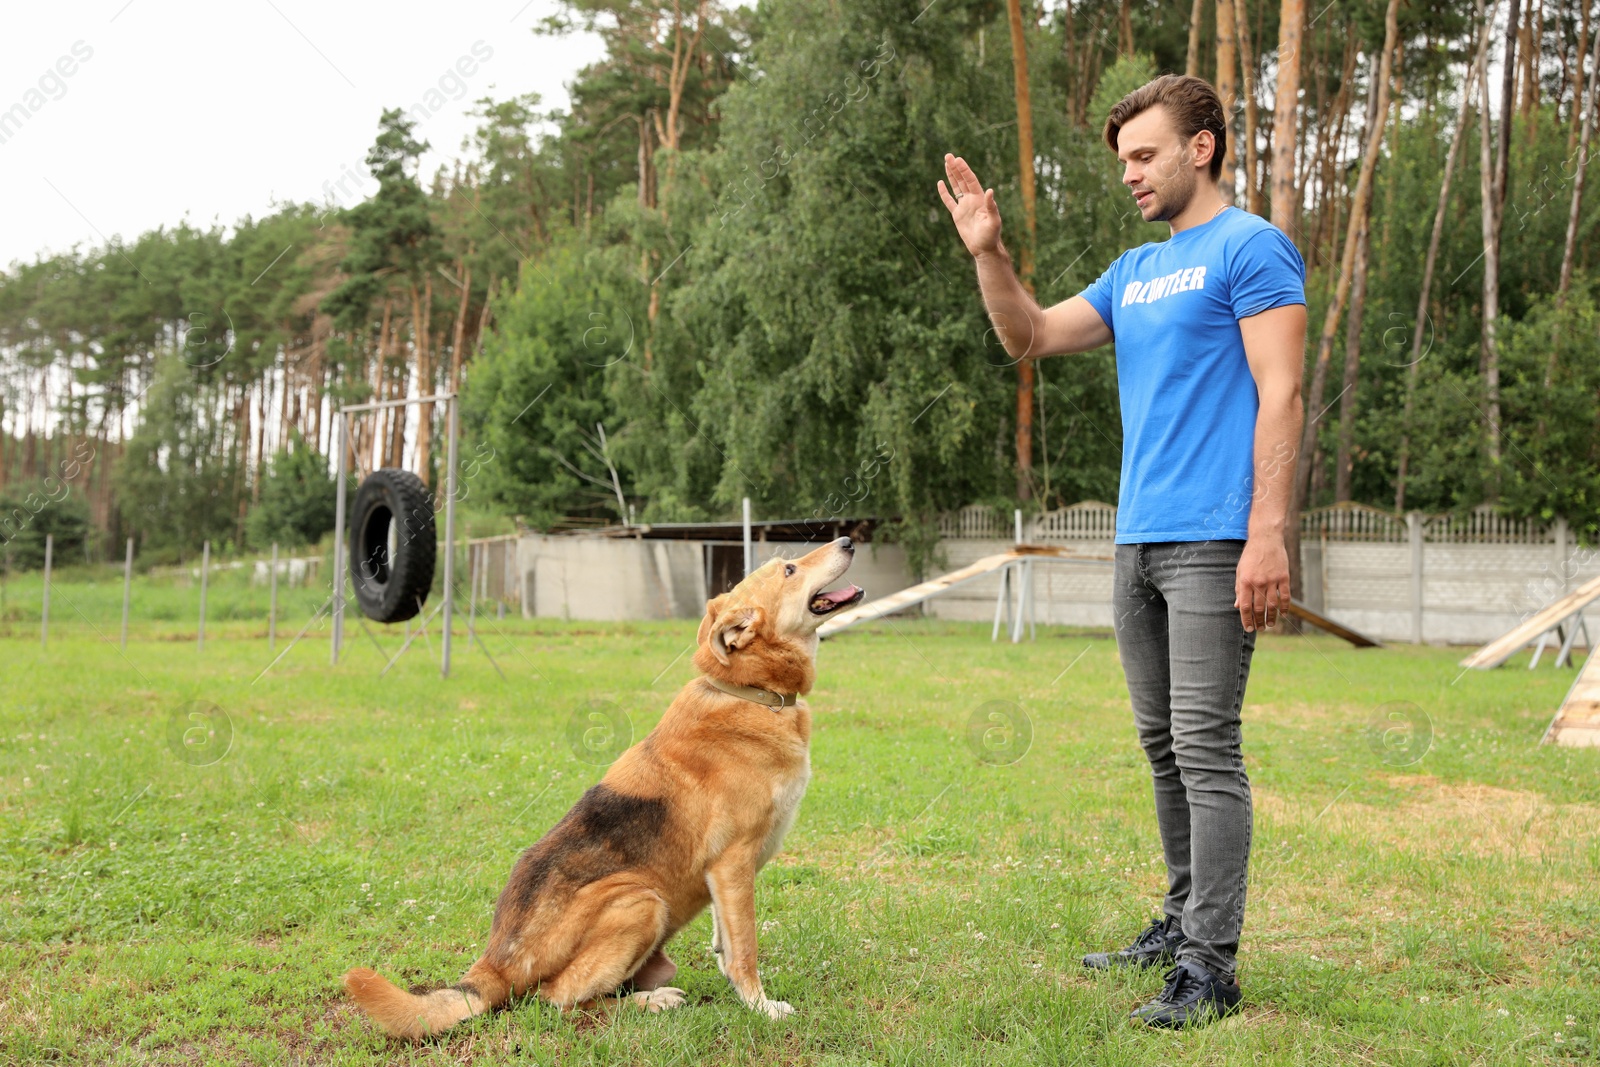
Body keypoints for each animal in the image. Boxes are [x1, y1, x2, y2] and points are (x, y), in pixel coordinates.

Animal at [340, 537, 864, 1036]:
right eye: (789, 569)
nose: (847, 540)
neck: (751, 694)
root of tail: (494, 965)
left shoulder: (724, 879)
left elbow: (726, 943)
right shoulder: (733, 863)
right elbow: (746, 951)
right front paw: (761, 1008)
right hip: (640, 901)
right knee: (557, 999)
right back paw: (651, 1003)